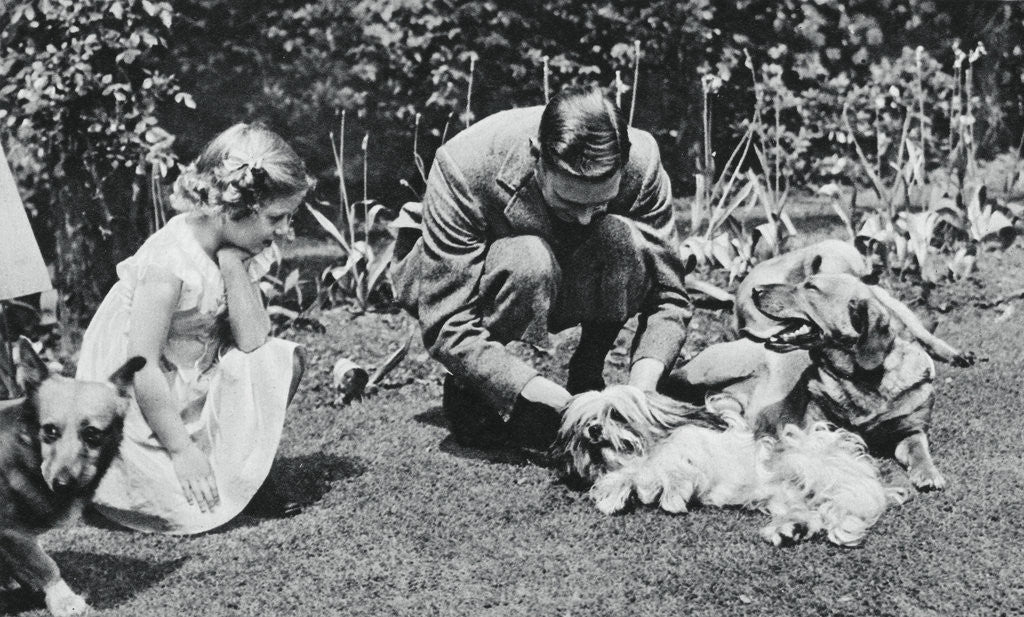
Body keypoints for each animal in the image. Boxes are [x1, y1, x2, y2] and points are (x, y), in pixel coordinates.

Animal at [0, 339, 145, 613]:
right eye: (50, 430)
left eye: (92, 434)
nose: (62, 484)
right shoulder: (10, 529)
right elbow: (44, 563)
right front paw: (65, 601)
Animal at [552, 384, 905, 548]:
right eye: (585, 422)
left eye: (616, 414)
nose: (593, 430)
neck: (647, 452)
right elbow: (626, 477)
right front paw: (614, 495)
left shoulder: (691, 453)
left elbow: (676, 470)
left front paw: (672, 497)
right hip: (787, 499)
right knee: (813, 514)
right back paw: (790, 530)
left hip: (806, 462)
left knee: (848, 507)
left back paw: (842, 527)